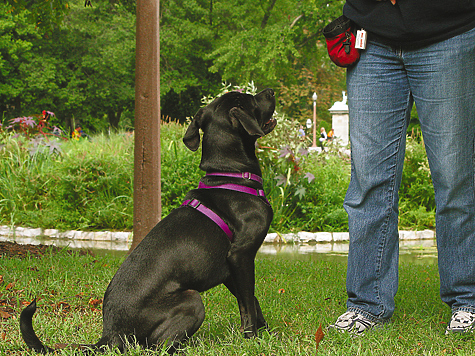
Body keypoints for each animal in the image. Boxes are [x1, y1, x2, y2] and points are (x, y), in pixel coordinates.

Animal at [20, 87, 278, 352]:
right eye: (250, 98)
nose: (270, 91)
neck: (230, 175)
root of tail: (110, 335)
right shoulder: (241, 255)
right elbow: (248, 304)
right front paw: (253, 338)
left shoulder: (229, 270)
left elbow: (252, 302)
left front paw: (267, 334)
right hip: (192, 300)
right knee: (157, 346)